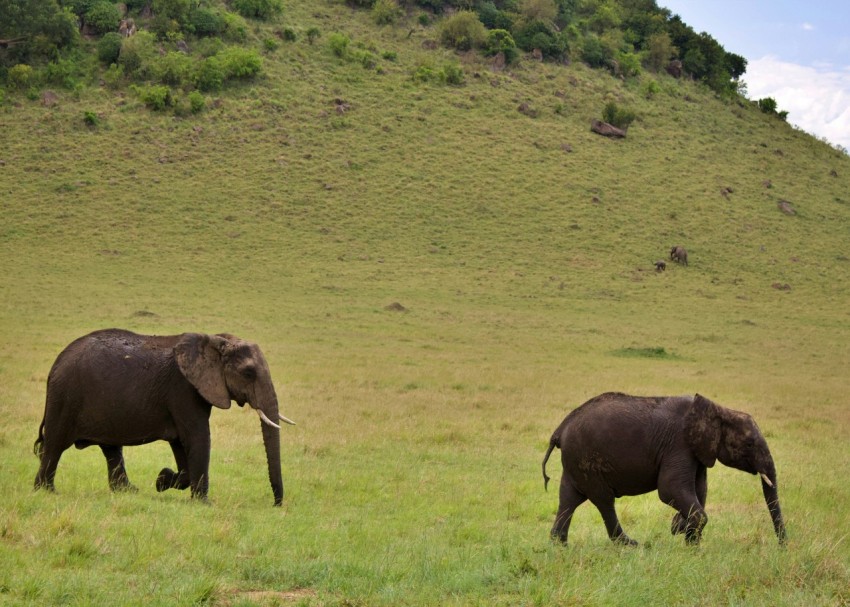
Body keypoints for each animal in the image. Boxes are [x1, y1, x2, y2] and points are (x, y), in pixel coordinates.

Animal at [33, 330, 294, 506]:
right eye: (248, 373)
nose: (276, 504)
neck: (215, 340)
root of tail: (55, 365)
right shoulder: (183, 389)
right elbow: (198, 438)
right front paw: (202, 503)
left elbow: (181, 444)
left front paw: (161, 481)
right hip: (64, 398)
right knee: (55, 446)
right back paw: (45, 492)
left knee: (111, 449)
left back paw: (130, 492)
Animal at [540, 392, 784, 548]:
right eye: (750, 444)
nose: (783, 547)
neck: (717, 409)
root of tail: (560, 429)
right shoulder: (679, 444)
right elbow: (670, 489)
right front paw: (687, 539)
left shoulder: (698, 451)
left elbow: (700, 490)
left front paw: (684, 535)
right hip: (586, 459)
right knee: (604, 501)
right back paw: (630, 545)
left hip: (575, 461)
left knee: (569, 499)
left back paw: (559, 545)